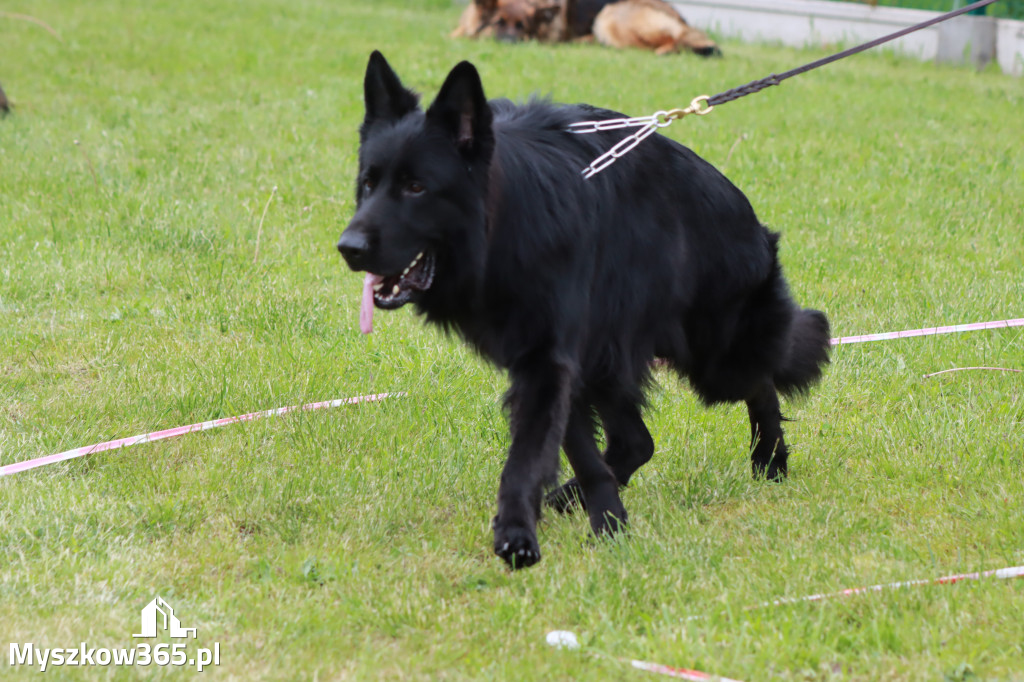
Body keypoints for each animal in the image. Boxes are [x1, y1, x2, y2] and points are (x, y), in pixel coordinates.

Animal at [337, 50, 831, 565]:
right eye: (368, 184)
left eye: (416, 187)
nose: (348, 248)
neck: (506, 226)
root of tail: (749, 217)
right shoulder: (555, 361)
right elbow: (578, 452)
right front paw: (606, 522)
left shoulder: (550, 360)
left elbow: (528, 456)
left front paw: (526, 530)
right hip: (612, 359)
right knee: (637, 442)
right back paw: (570, 498)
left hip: (712, 357)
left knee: (760, 383)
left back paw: (770, 460)